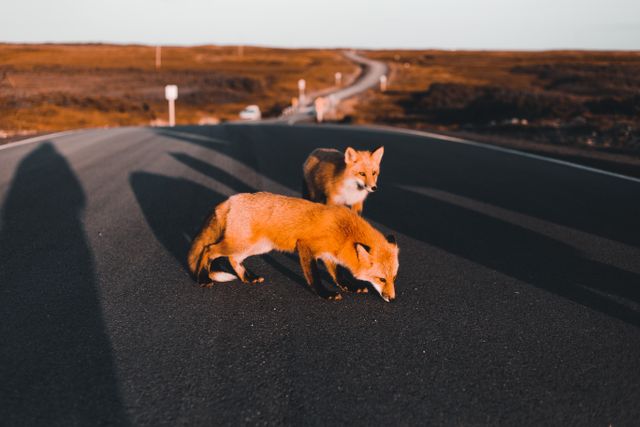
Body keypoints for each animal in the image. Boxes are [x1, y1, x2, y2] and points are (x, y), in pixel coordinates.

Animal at [187, 192, 399, 302]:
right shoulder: (306, 246)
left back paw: (248, 278)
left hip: (256, 247)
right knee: (208, 250)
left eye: (393, 278)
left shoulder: (329, 255)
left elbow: (338, 275)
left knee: (233, 259)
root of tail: (230, 200)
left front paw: (350, 287)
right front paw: (325, 294)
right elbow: (314, 277)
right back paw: (203, 278)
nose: (392, 298)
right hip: (239, 244)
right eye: (381, 279)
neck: (343, 231)